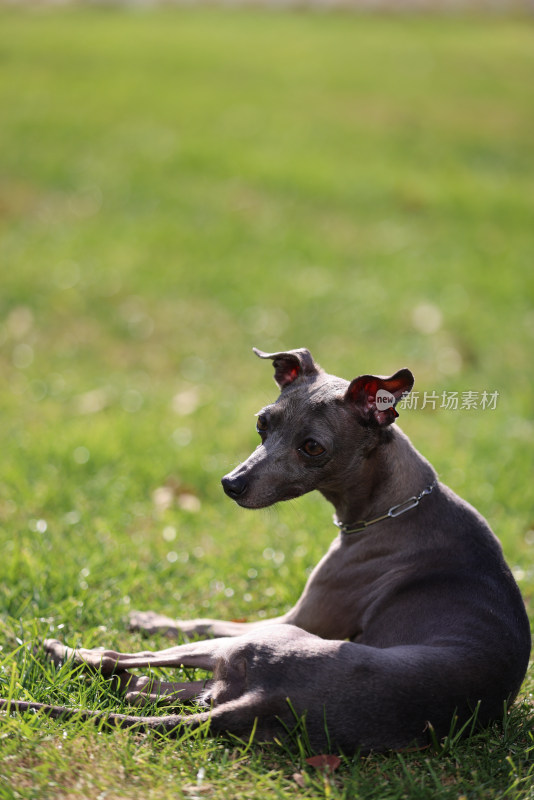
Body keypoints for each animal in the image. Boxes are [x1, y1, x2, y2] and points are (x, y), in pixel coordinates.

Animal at [1, 346, 532, 752]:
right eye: (262, 423)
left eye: (313, 447)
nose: (230, 484)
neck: (397, 503)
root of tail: (275, 703)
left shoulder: (299, 618)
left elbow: (203, 618)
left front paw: (147, 618)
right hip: (221, 681)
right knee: (143, 691)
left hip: (259, 642)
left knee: (122, 661)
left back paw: (62, 649)